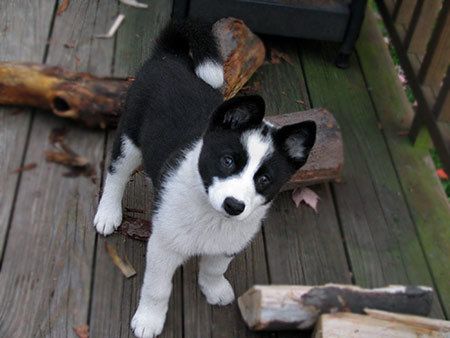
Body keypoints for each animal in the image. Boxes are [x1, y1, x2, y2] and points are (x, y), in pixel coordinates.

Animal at [92, 19, 316, 336]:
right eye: (227, 161)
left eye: (263, 179)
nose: (234, 206)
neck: (211, 217)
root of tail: (169, 56)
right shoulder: (163, 246)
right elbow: (157, 289)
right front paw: (148, 320)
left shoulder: (226, 246)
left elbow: (214, 269)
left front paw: (214, 289)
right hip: (129, 136)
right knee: (116, 173)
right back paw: (108, 214)